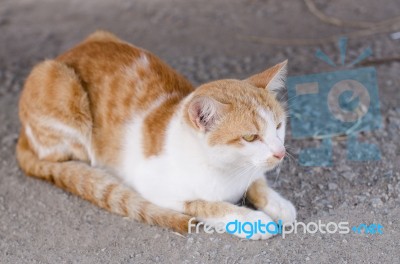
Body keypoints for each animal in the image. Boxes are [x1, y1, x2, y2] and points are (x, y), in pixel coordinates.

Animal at [15, 30, 296, 239]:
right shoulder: (156, 188)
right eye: (250, 138)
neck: (228, 171)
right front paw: (251, 220)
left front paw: (278, 203)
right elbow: (206, 204)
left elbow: (258, 181)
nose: (280, 153)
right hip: (60, 85)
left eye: (278, 126)